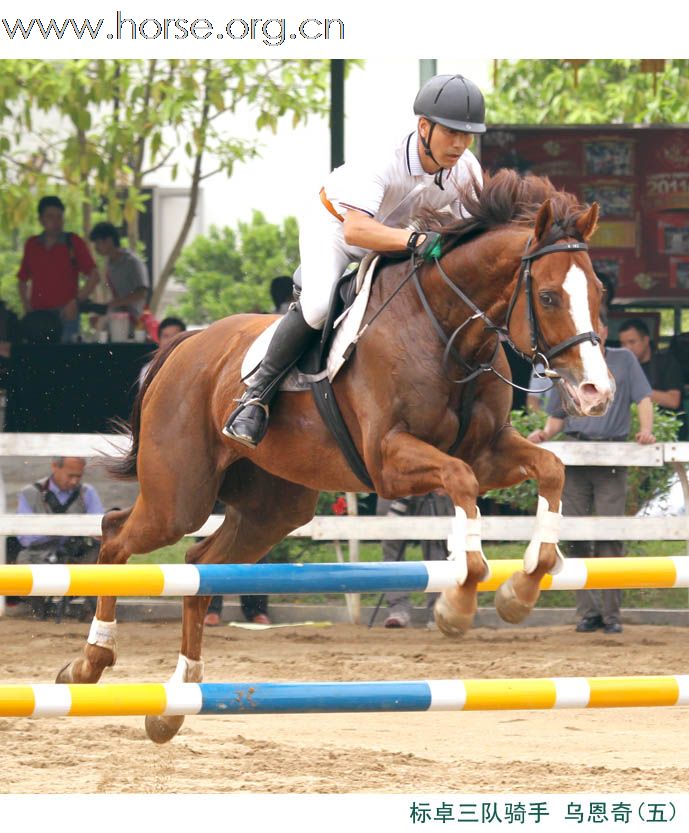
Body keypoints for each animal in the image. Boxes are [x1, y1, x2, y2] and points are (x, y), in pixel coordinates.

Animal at [55, 169, 612, 740]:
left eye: (598, 292)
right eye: (547, 296)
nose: (596, 392)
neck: (445, 331)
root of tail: (186, 345)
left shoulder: (487, 450)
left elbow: (549, 469)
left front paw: (521, 589)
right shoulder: (389, 461)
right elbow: (461, 483)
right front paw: (458, 603)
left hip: (273, 509)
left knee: (198, 567)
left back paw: (174, 702)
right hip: (179, 497)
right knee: (116, 535)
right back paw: (90, 663)